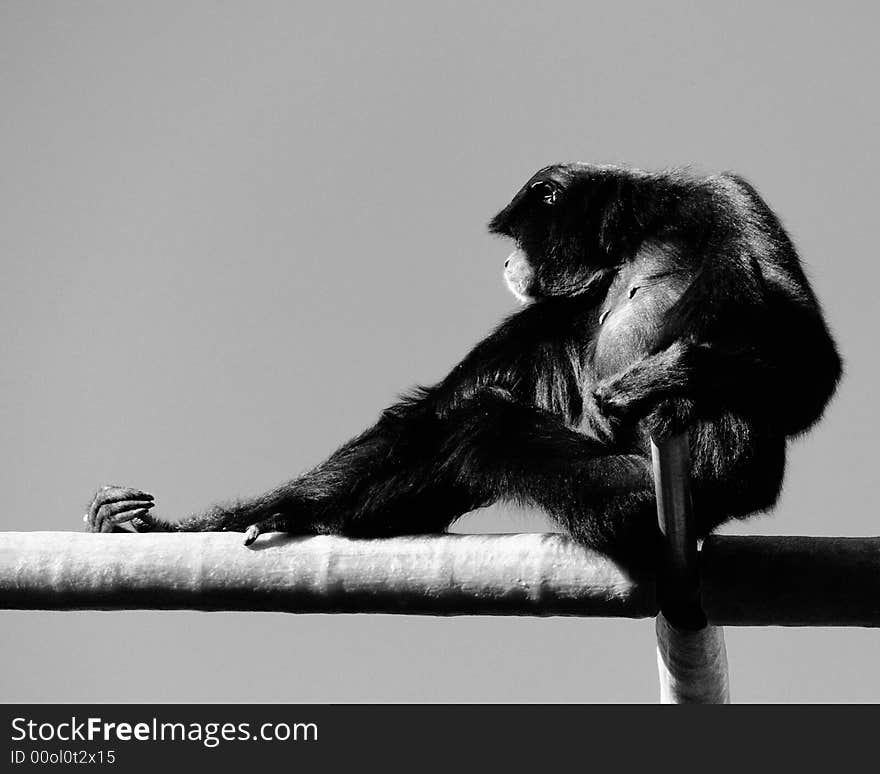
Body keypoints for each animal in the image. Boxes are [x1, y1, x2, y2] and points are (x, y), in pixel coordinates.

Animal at [86, 164, 844, 568]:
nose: (506, 261)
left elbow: (813, 363)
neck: (630, 243)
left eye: (515, 235)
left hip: (651, 483)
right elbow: (427, 415)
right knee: (464, 418)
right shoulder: (559, 309)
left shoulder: (721, 191)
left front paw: (652, 383)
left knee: (485, 423)